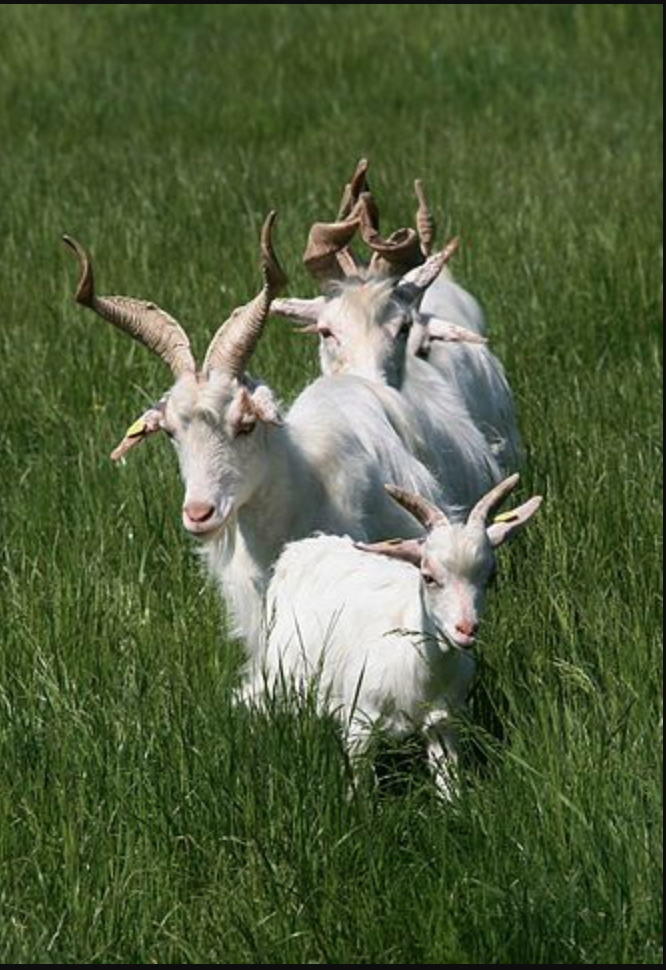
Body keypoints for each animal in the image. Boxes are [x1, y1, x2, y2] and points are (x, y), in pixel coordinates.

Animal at [244, 472, 540, 796]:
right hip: (283, 675)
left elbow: (450, 786)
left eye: (491, 576)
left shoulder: (443, 722)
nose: (466, 629)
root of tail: (305, 545)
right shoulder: (359, 722)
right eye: (428, 577)